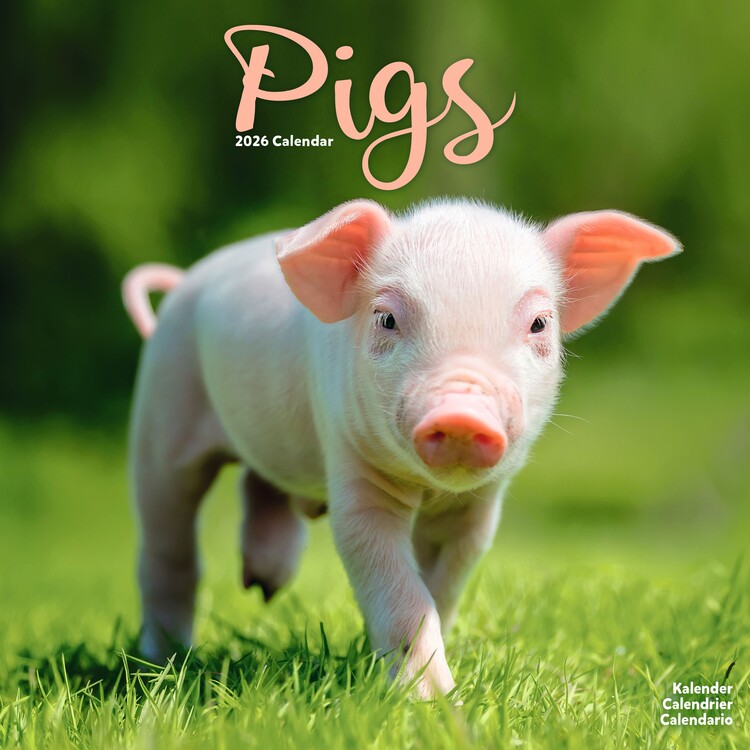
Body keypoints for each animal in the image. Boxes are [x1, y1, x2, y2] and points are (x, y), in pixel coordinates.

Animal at [122, 199, 681, 698]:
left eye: (540, 324)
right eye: (387, 319)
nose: (461, 413)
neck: (429, 490)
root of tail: (184, 283)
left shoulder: (476, 512)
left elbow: (442, 585)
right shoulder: (354, 473)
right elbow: (393, 580)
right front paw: (431, 701)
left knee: (260, 482)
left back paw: (263, 584)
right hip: (161, 413)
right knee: (168, 540)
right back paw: (165, 656)